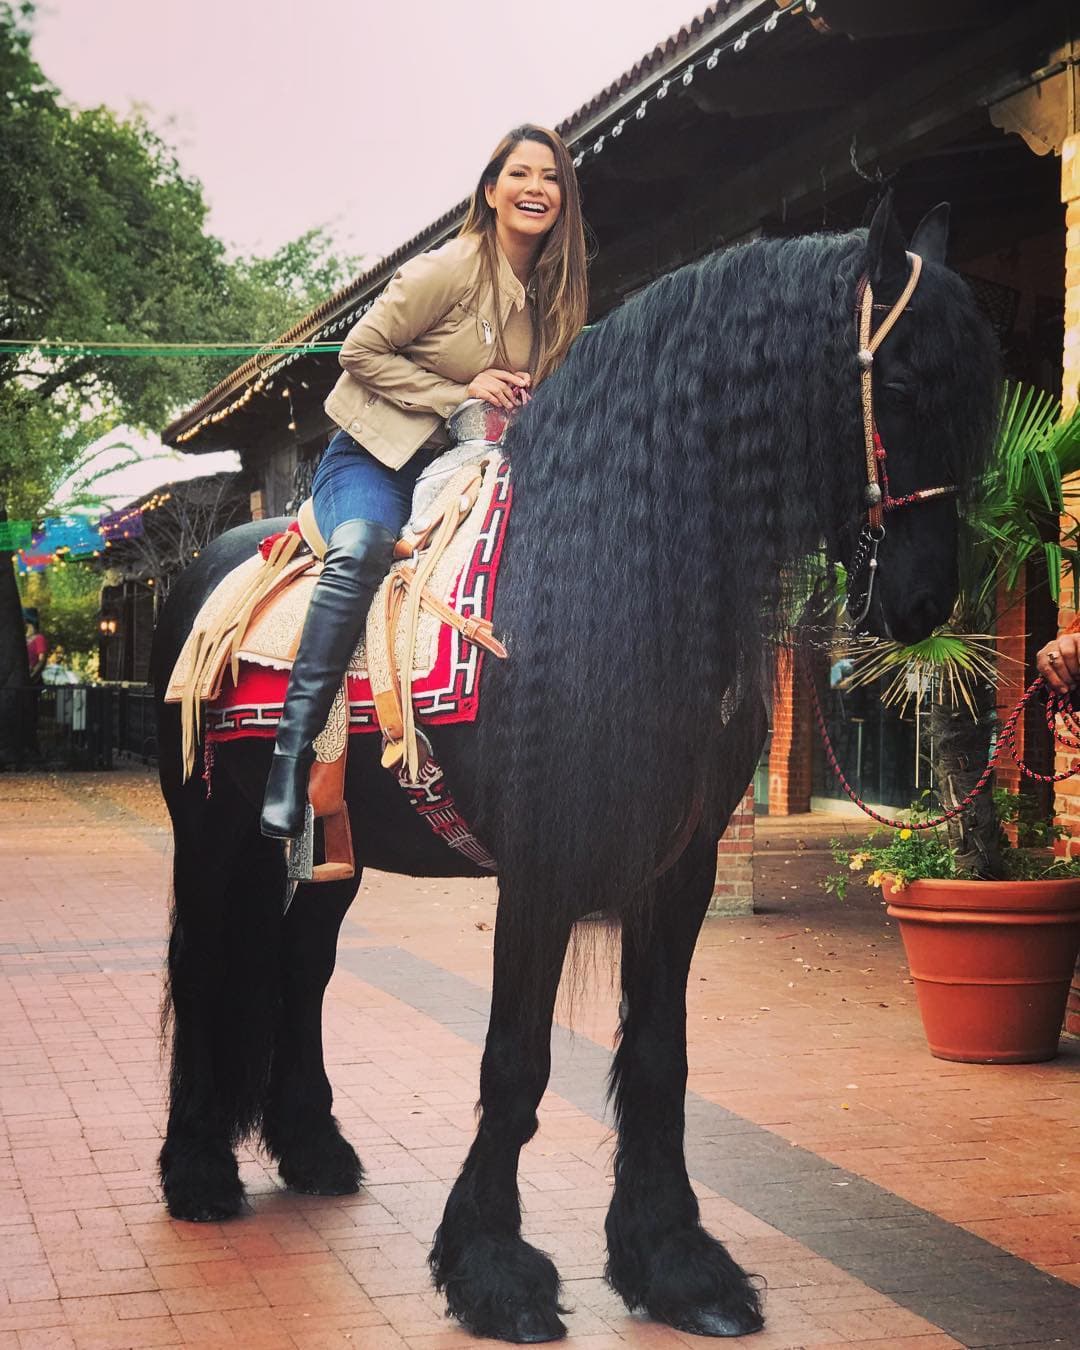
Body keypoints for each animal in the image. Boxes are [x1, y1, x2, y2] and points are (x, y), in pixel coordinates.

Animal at [152, 197, 999, 1342]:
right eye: (901, 386)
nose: (919, 605)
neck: (599, 578)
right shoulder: (543, 871)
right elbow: (516, 1062)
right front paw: (493, 1272)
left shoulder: (680, 870)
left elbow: (659, 1060)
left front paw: (676, 1267)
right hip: (213, 835)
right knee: (206, 970)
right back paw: (198, 1173)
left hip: (333, 852)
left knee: (302, 964)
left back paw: (313, 1150)